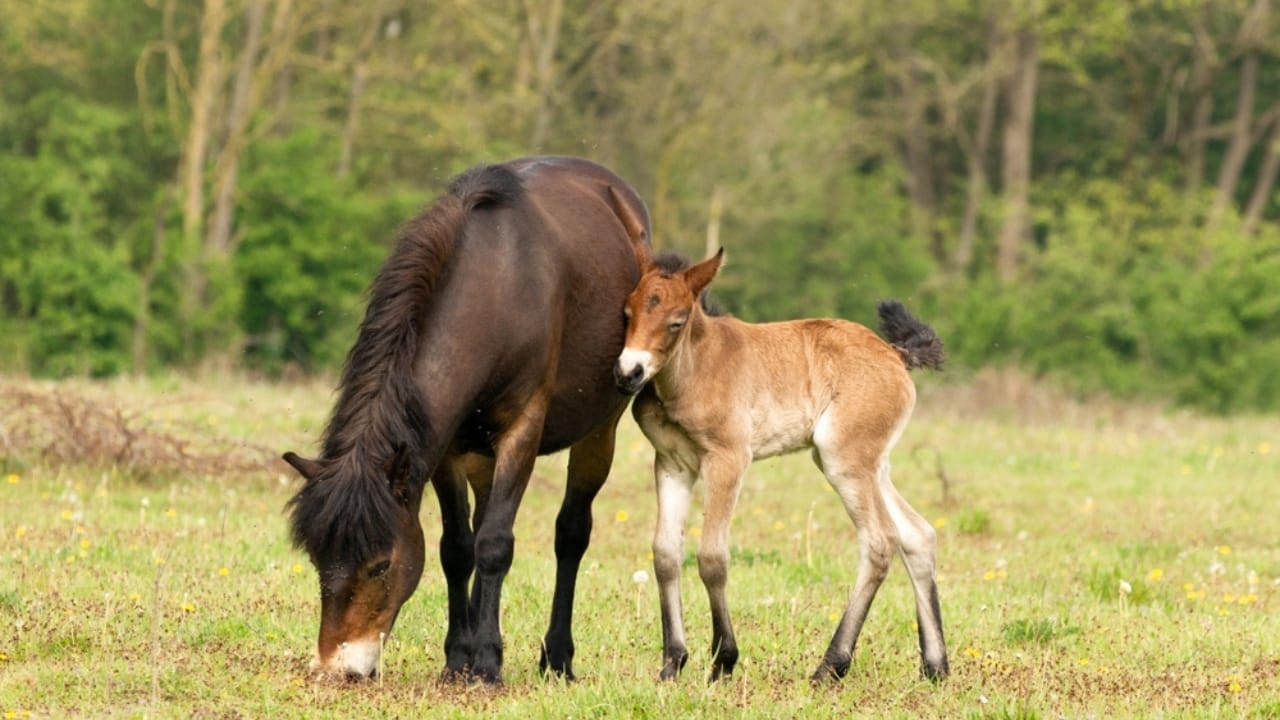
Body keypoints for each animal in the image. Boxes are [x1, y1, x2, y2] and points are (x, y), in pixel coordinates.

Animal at [282, 156, 652, 685]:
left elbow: (495, 544)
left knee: (570, 534)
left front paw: (489, 662)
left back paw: (556, 657)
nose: (337, 668)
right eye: (317, 560)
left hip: (600, 431)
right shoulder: (445, 448)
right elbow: (458, 548)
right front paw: (459, 658)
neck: (495, 285)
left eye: (380, 566)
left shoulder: (522, 431)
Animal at [611, 238, 950, 684]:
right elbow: (666, 554)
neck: (693, 370)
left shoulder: (728, 459)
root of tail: (894, 354)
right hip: (872, 465)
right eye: (628, 311)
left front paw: (724, 660)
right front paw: (672, 662)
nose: (628, 373)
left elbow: (712, 557)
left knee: (880, 542)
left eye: (676, 322)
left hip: (844, 462)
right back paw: (935, 665)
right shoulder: (671, 463)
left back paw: (831, 665)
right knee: (918, 535)